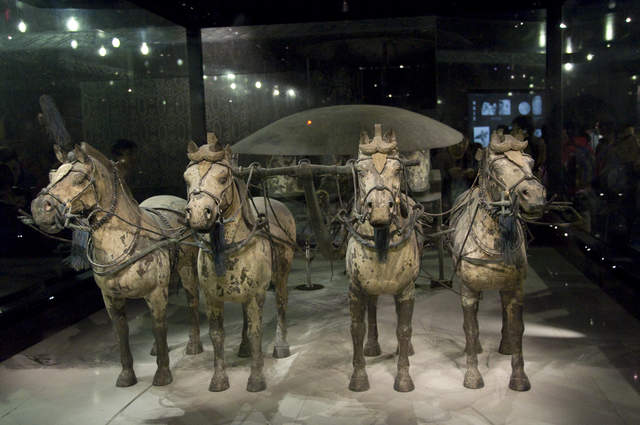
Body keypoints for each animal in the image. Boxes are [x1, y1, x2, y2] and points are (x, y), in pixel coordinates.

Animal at [31, 143, 202, 387]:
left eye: (79, 178)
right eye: (51, 175)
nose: (38, 208)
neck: (123, 241)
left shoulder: (155, 292)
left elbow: (158, 325)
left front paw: (162, 374)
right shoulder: (111, 299)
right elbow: (122, 331)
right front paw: (127, 375)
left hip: (186, 270)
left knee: (191, 301)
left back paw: (194, 344)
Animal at [183, 139, 296, 392]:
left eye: (223, 177)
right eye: (186, 178)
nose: (198, 214)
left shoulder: (255, 295)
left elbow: (256, 333)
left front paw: (256, 379)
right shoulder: (212, 298)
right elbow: (216, 335)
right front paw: (218, 380)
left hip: (282, 275)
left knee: (282, 303)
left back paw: (281, 345)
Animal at [344, 124, 422, 392]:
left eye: (397, 170)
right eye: (360, 170)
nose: (379, 211)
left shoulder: (407, 289)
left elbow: (404, 328)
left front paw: (404, 378)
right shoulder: (356, 288)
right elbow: (357, 329)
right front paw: (358, 377)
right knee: (373, 307)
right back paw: (372, 347)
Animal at [449, 131, 546, 391]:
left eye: (530, 161)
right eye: (497, 165)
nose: (535, 196)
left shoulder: (515, 288)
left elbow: (517, 328)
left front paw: (519, 378)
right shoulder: (468, 290)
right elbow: (470, 328)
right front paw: (472, 376)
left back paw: (505, 346)